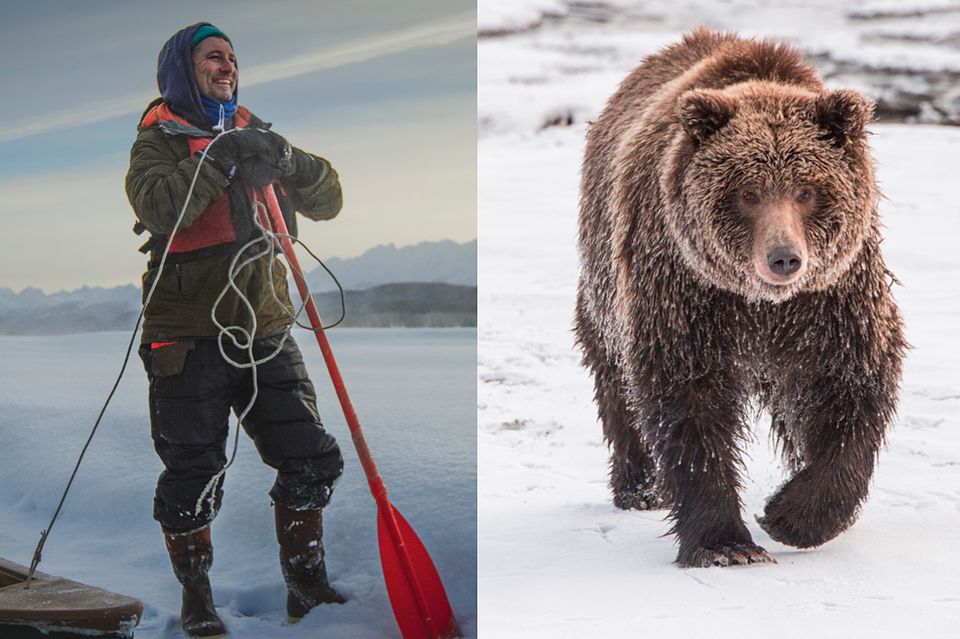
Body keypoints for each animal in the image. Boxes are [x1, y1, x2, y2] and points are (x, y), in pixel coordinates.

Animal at [576, 28, 908, 568]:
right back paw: (639, 486)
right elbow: (689, 403)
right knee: (614, 376)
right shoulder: (685, 293)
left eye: (806, 190)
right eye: (748, 192)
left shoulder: (832, 300)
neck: (759, 304)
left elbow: (850, 388)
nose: (784, 258)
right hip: (606, 278)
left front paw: (790, 514)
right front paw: (726, 544)